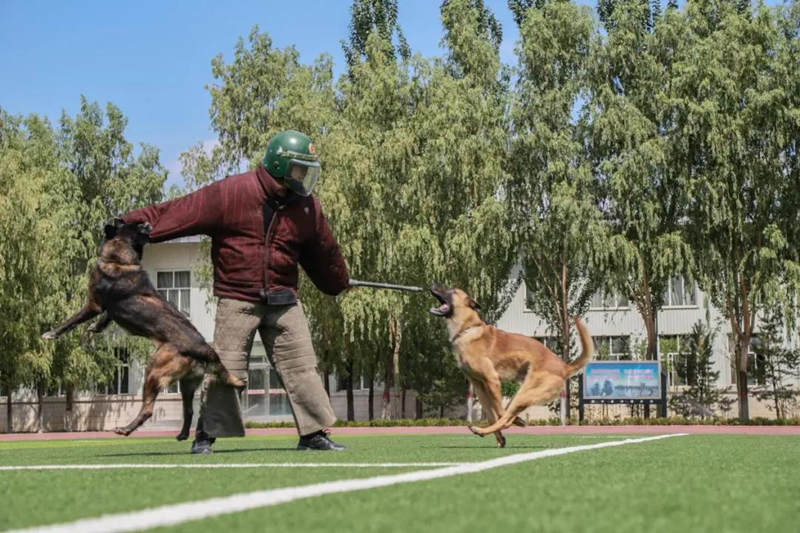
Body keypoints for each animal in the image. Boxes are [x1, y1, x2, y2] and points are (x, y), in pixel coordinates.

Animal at [42, 219, 242, 436]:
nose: (147, 223)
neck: (120, 260)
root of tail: (206, 348)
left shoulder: (93, 304)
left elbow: (71, 321)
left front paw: (52, 333)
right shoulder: (108, 309)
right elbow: (106, 317)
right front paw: (96, 327)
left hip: (154, 370)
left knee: (147, 410)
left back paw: (125, 429)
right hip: (187, 383)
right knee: (189, 411)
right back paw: (181, 434)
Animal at [432, 286, 592, 444]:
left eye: (452, 291)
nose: (432, 286)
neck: (468, 329)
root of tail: (564, 367)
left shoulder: (492, 380)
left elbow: (499, 412)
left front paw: (514, 423)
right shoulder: (479, 386)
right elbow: (491, 415)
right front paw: (500, 437)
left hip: (524, 394)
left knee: (507, 416)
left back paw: (485, 428)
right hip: (521, 395)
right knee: (507, 414)